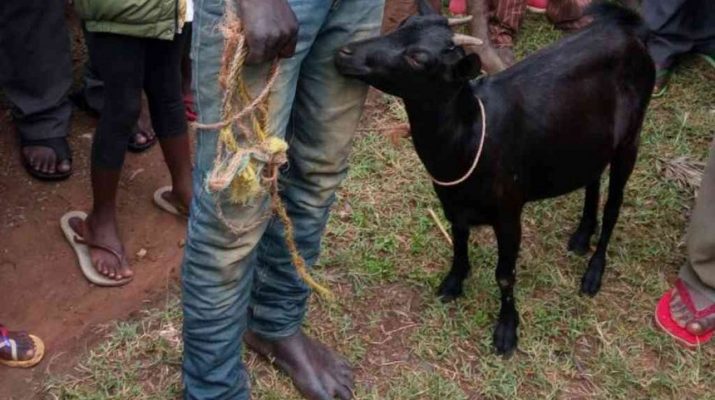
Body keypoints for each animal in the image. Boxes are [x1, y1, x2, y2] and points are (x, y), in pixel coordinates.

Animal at [335, 1, 654, 355]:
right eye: (403, 23)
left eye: (418, 58)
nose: (344, 52)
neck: (470, 136)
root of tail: (629, 31)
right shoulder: (452, 203)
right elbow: (459, 245)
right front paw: (453, 283)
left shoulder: (509, 212)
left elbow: (504, 274)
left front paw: (506, 330)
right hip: (588, 140)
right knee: (592, 177)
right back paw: (582, 236)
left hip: (631, 138)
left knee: (614, 205)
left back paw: (594, 272)